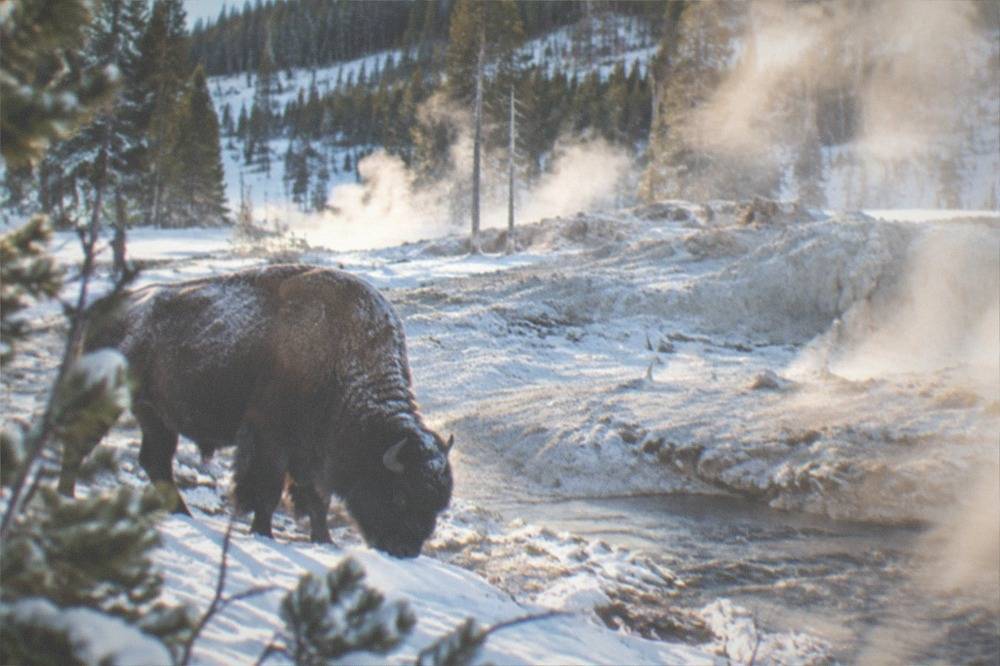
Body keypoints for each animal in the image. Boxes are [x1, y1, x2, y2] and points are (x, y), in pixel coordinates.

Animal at [60, 264, 453, 558]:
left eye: (437, 505)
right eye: (400, 495)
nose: (405, 550)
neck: (344, 360)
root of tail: (101, 312)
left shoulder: (312, 454)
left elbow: (317, 498)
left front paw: (323, 539)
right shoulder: (270, 438)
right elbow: (268, 489)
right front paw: (263, 532)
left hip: (155, 416)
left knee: (155, 460)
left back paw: (181, 512)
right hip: (107, 399)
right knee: (81, 443)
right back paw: (67, 496)